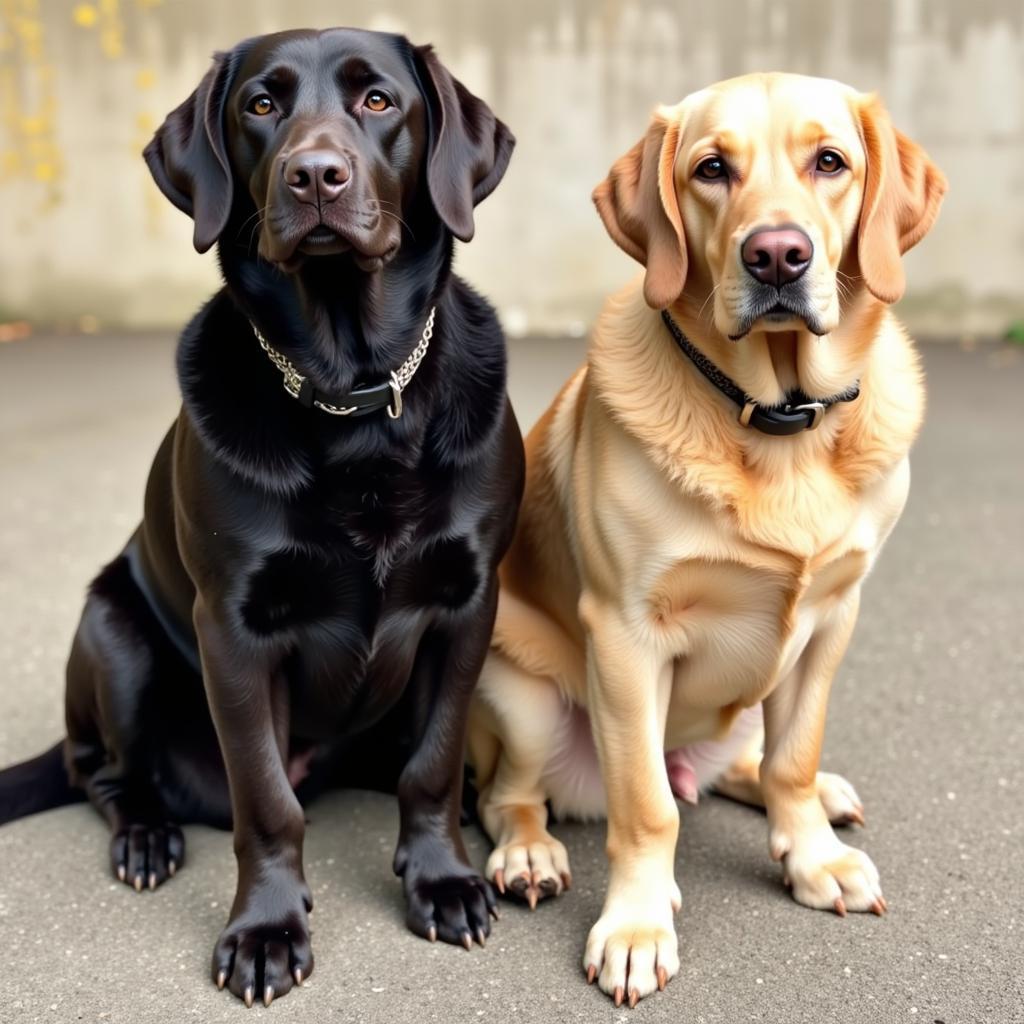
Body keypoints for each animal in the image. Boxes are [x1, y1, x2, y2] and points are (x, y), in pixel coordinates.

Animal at [0, 25, 524, 1007]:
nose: (314, 176)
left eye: (378, 100)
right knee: (102, 770)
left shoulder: (467, 602)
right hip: (114, 632)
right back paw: (145, 835)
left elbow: (433, 764)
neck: (352, 394)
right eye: (261, 104)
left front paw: (443, 880)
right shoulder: (236, 629)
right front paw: (266, 931)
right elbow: (266, 798)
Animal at [464, 74, 942, 1007]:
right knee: (516, 795)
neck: (779, 420)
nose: (778, 256)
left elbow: (793, 760)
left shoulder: (833, 618)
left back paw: (816, 797)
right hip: (525, 700)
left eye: (830, 162)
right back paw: (531, 851)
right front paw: (637, 927)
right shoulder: (624, 635)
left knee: (743, 764)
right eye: (712, 169)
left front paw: (815, 858)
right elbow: (647, 808)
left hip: (755, 693)